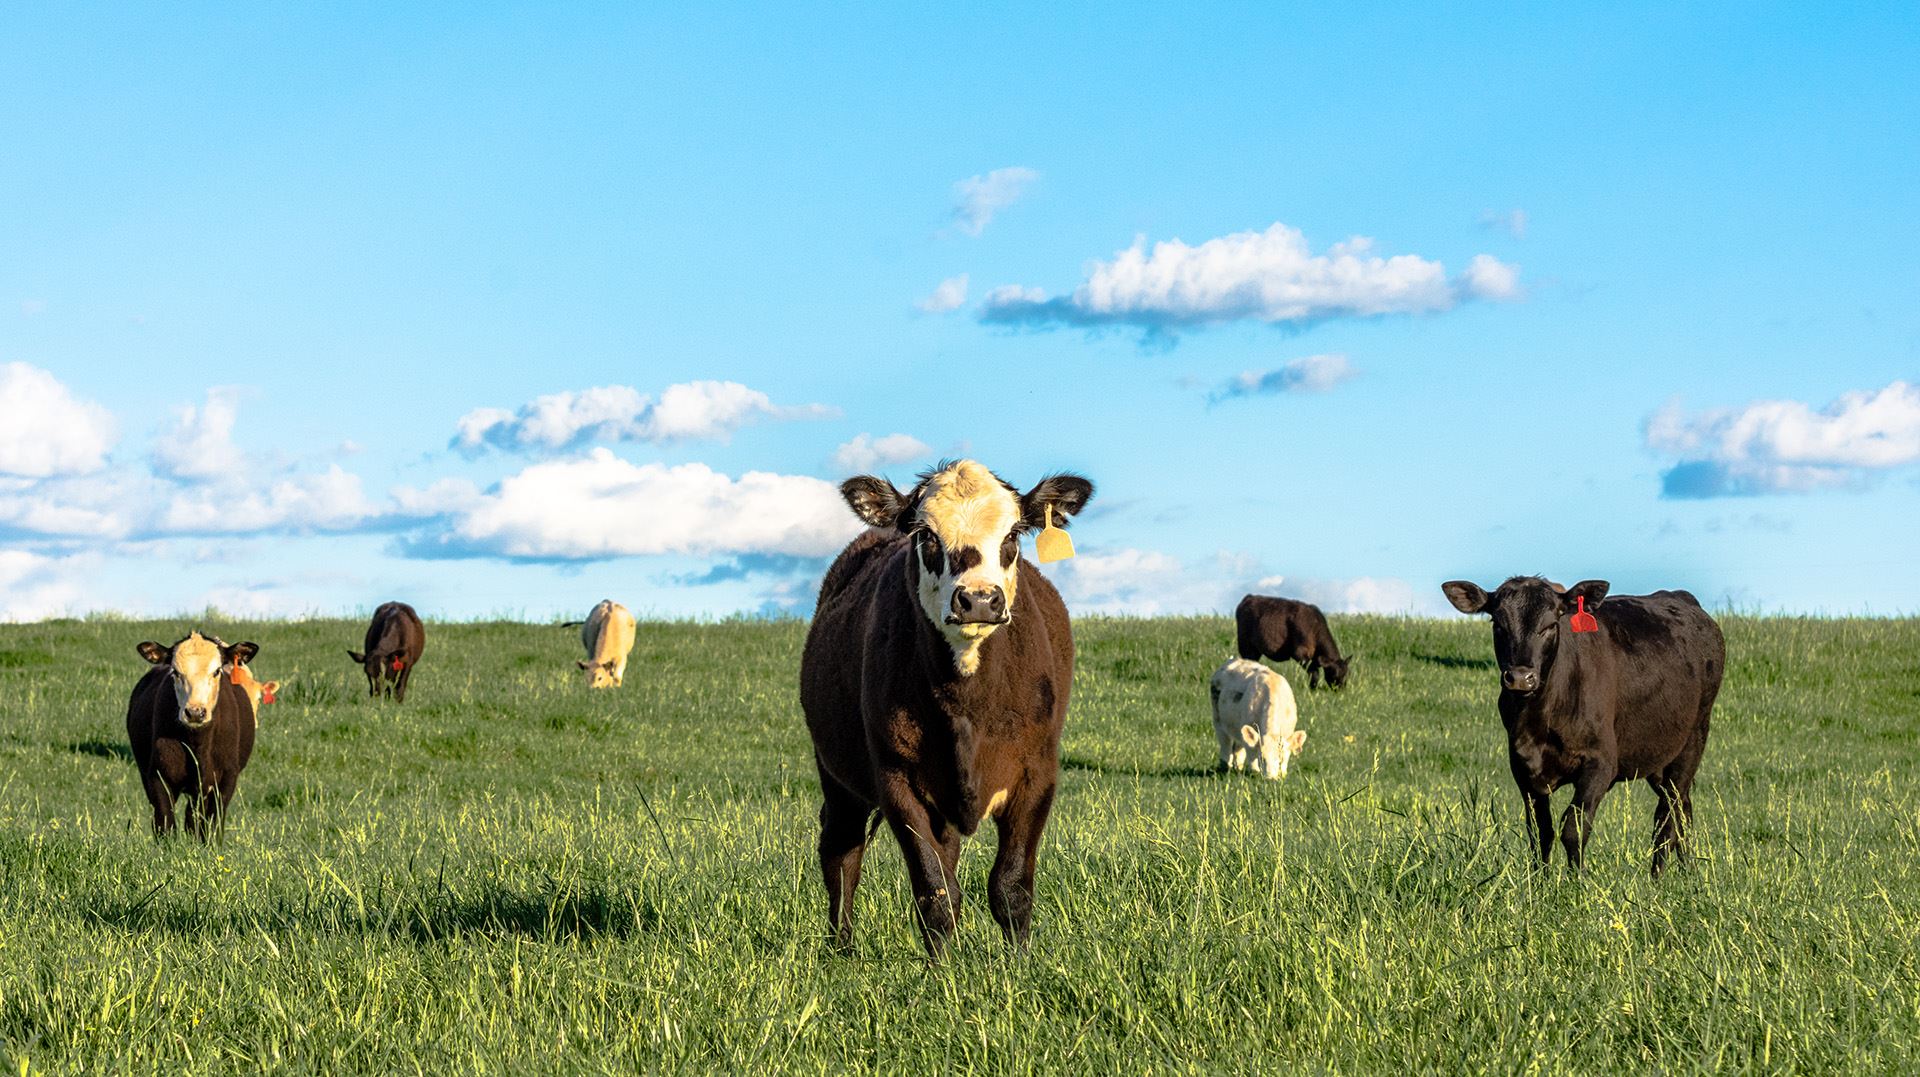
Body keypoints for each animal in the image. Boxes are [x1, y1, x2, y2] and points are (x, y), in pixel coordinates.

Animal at [126, 631, 258, 838]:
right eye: (175, 672)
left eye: (217, 671)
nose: (195, 712)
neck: (197, 746)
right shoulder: (157, 776)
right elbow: (165, 823)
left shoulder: (226, 779)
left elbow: (212, 823)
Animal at [800, 459, 1094, 959]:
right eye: (927, 536)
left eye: (1014, 534)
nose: (979, 599)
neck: (967, 706)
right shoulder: (896, 778)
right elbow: (934, 890)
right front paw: (942, 970)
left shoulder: (1038, 771)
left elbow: (1010, 885)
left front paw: (1019, 964)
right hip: (836, 772)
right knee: (841, 849)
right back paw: (842, 949)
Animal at [1441, 576, 1724, 876]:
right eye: (1498, 624)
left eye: (1550, 625)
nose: (1520, 677)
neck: (1540, 719)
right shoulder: (1522, 766)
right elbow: (1541, 832)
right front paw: (1540, 882)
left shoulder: (1601, 763)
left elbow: (1573, 828)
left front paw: (1577, 883)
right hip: (1658, 758)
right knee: (1683, 809)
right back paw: (1687, 872)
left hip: (1693, 739)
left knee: (1667, 818)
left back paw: (1658, 879)